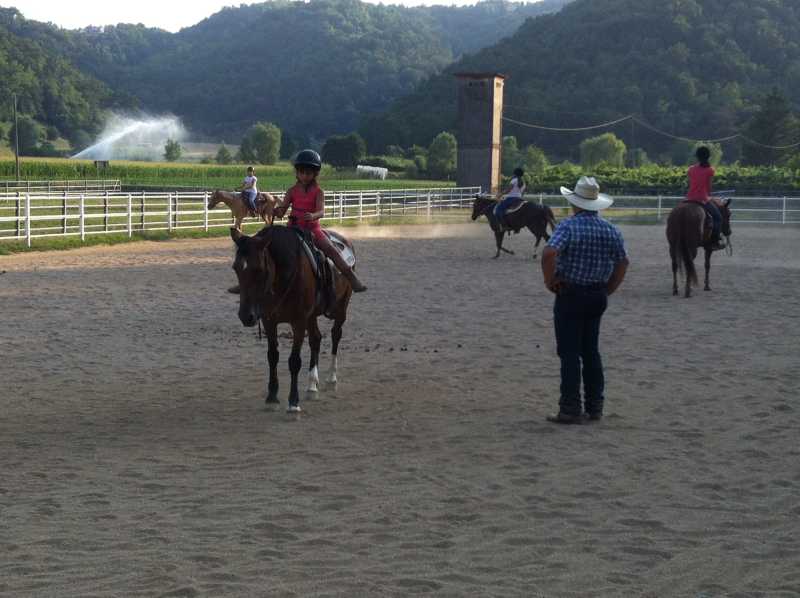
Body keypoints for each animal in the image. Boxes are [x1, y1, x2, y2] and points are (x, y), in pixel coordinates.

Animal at [230, 225, 353, 412]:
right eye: (235, 268)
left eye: (259, 270)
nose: (246, 316)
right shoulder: (269, 320)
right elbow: (272, 356)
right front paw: (272, 396)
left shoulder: (299, 321)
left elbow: (294, 361)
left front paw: (293, 402)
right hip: (312, 316)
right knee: (316, 339)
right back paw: (312, 385)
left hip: (340, 307)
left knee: (335, 334)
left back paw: (331, 378)